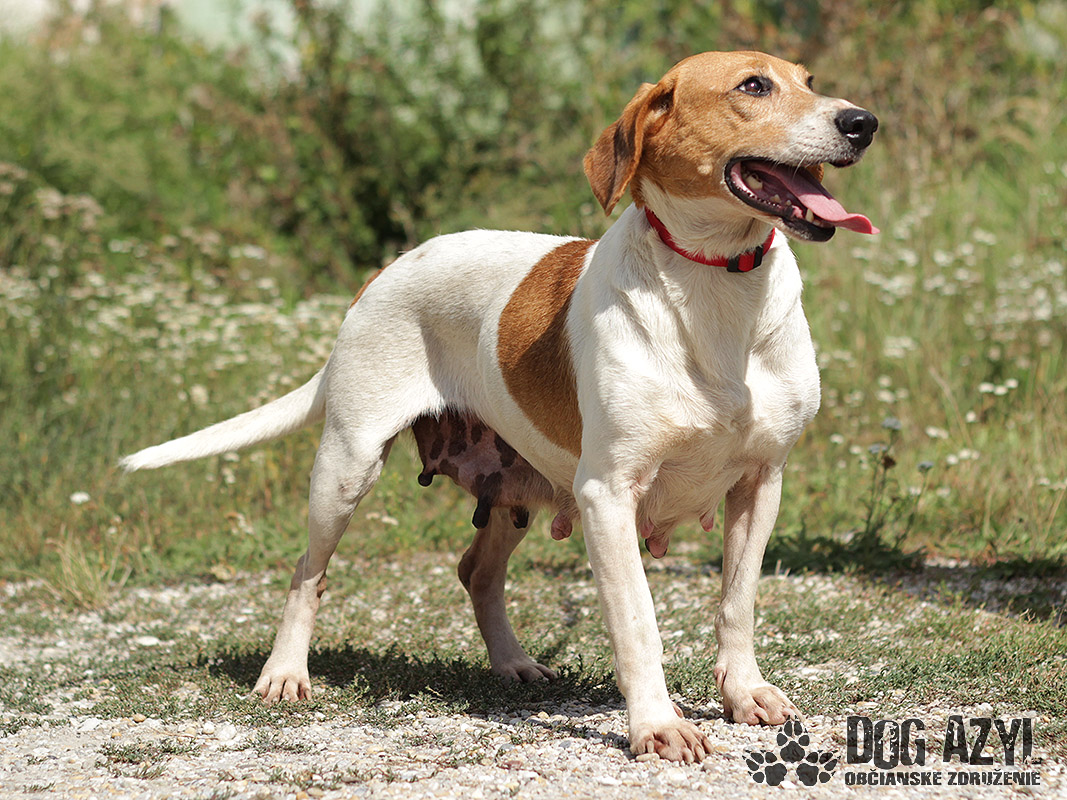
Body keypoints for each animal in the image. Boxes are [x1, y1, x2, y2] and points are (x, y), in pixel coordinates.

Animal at [121, 50, 878, 763]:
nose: (862, 122)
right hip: (345, 468)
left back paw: (513, 663)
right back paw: (284, 674)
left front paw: (744, 694)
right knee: (309, 572)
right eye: (754, 86)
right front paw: (657, 726)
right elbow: (638, 625)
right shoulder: (609, 494)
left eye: (809, 80)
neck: (715, 284)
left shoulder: (760, 482)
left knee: (475, 571)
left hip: (520, 487)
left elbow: (736, 604)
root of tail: (384, 271)